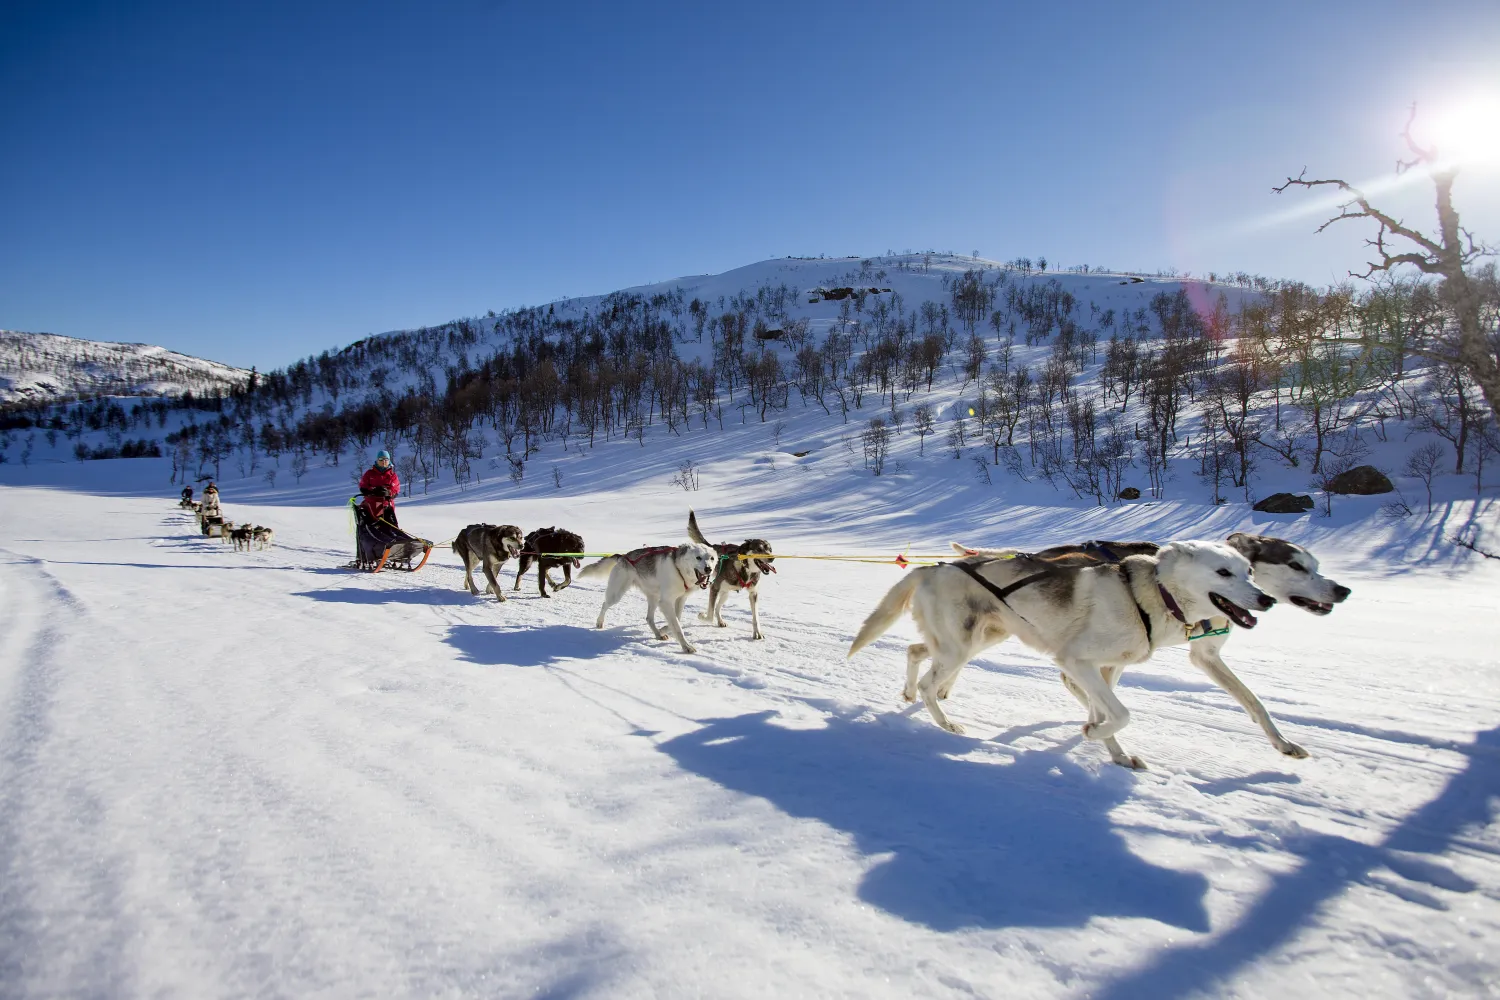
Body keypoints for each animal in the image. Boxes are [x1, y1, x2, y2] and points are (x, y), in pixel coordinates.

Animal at [576, 542, 717, 653]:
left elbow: (676, 619)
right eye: (698, 557)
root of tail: (623, 557)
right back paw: (599, 622)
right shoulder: (665, 602)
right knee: (605, 604)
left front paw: (664, 629)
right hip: (616, 594)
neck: (679, 569)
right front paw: (686, 646)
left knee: (649, 618)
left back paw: (658, 634)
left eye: (712, 558)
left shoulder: (680, 599)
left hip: (653, 598)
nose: (708, 569)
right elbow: (677, 626)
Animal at [852, 539, 1272, 767]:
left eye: (1249, 571)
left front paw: (1116, 753)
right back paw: (946, 724)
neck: (1148, 595)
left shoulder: (1105, 670)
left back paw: (910, 692)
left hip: (975, 642)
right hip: (960, 648)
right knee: (929, 683)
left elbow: (1105, 711)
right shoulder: (1076, 662)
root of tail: (934, 568)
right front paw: (1094, 733)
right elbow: (1120, 714)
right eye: (1223, 572)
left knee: (915, 651)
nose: (1266, 599)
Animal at [948, 536, 1362, 761]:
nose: (1343, 590)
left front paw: (1284, 742)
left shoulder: (1206, 656)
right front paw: (1103, 732)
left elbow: (1254, 703)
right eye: (1296, 566)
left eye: (1314, 565)